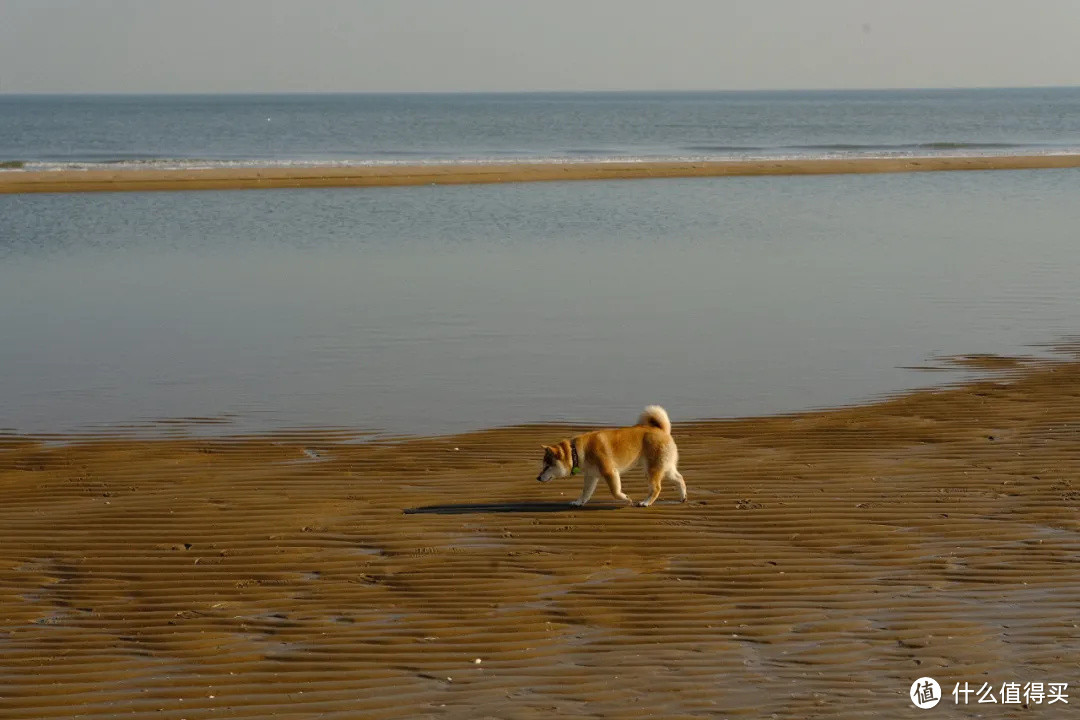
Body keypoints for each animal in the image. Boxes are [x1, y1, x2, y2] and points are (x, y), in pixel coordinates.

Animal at [535, 405, 686, 507]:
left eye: (547, 466)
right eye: (543, 466)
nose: (538, 478)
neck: (576, 452)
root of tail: (661, 430)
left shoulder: (610, 472)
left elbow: (615, 492)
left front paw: (626, 498)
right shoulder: (591, 476)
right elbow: (586, 492)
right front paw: (578, 502)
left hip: (652, 470)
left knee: (657, 488)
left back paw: (646, 502)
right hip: (665, 467)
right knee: (679, 478)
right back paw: (683, 497)